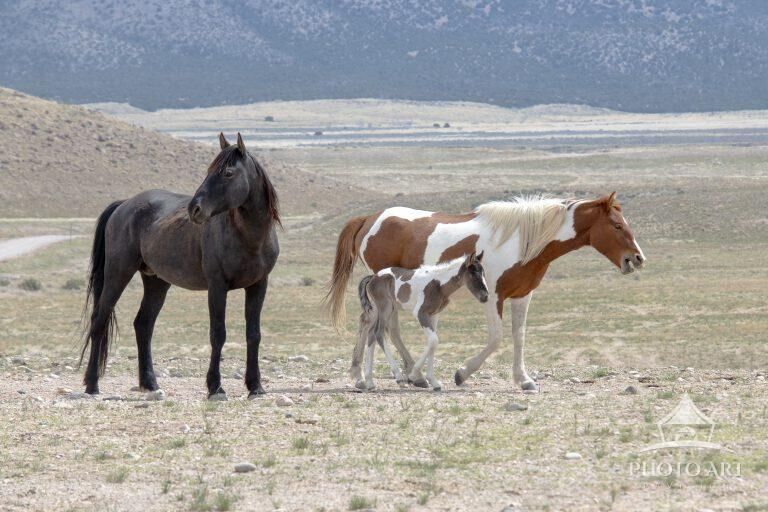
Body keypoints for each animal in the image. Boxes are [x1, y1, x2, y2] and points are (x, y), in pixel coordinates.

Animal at [79, 133, 280, 400]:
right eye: (209, 170)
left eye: (228, 173)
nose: (195, 209)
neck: (248, 237)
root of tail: (124, 204)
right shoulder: (217, 287)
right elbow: (218, 334)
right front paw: (215, 387)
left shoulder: (259, 285)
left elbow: (254, 334)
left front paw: (256, 386)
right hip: (118, 274)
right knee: (100, 320)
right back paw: (92, 384)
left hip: (156, 281)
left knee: (143, 324)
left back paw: (150, 384)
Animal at [351, 251, 488, 391]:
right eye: (473, 273)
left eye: (483, 273)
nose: (485, 296)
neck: (439, 284)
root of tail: (373, 277)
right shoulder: (420, 313)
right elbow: (433, 340)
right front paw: (414, 375)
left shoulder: (434, 315)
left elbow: (432, 342)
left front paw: (434, 382)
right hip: (386, 308)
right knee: (378, 333)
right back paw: (399, 378)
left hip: (377, 310)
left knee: (371, 334)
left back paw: (370, 382)